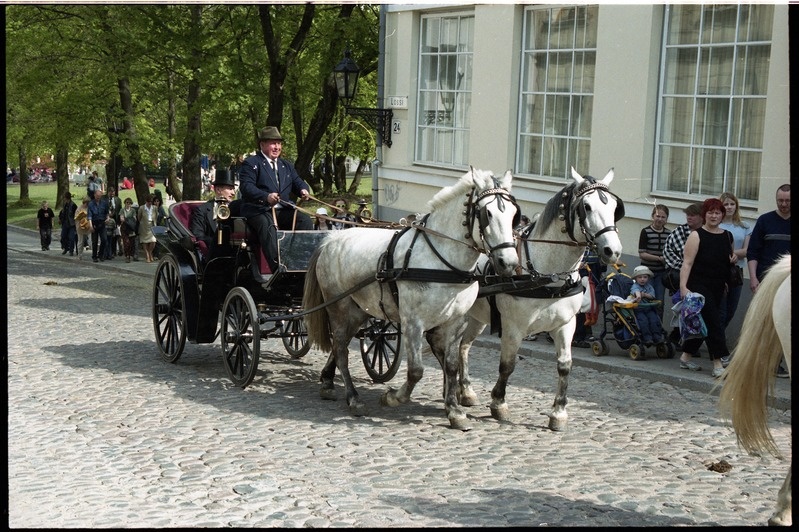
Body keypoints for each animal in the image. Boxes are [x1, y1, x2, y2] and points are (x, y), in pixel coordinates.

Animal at [304, 168, 520, 430]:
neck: (441, 260)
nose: (508, 263)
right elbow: (416, 371)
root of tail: (329, 240)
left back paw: (328, 382)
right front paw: (392, 397)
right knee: (341, 349)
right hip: (339, 307)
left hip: (359, 311)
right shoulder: (413, 323)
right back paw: (353, 398)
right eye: (486, 213)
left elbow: (451, 366)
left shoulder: (456, 321)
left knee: (341, 344)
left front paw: (454, 410)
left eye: (514, 215)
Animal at [456, 168, 624, 430]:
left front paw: (558, 413)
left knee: (463, 346)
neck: (548, 276)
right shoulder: (513, 328)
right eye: (586, 207)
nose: (612, 251)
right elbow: (508, 365)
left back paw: (466, 391)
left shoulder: (566, 325)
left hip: (477, 317)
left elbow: (565, 365)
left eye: (615, 207)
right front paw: (498, 403)